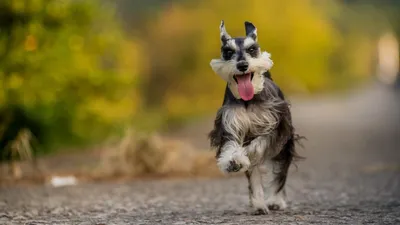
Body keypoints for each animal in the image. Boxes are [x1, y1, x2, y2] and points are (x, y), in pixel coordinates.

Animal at [206, 20, 304, 214]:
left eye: (252, 49)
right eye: (228, 51)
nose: (243, 65)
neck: (248, 100)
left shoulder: (275, 128)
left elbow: (258, 145)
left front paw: (246, 154)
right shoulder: (230, 125)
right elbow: (232, 147)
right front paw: (233, 160)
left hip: (284, 147)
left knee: (279, 174)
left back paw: (275, 200)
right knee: (255, 174)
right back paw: (259, 204)